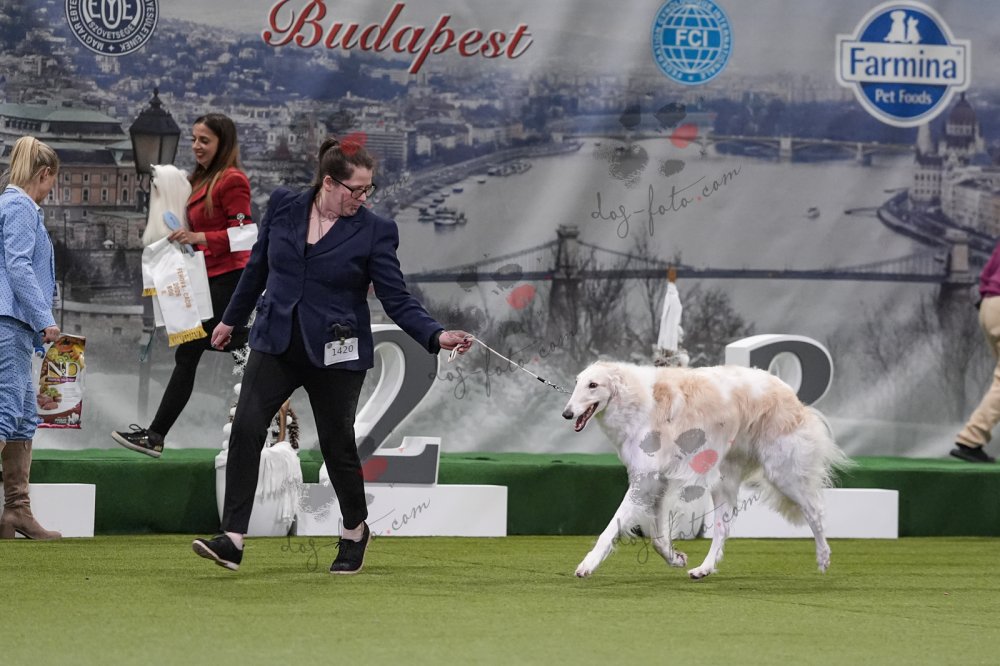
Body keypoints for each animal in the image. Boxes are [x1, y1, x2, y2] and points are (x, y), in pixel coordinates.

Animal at [561, 361, 850, 580]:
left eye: (593, 385)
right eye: (577, 382)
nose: (566, 413)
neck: (635, 398)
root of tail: (789, 392)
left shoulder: (645, 481)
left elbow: (612, 527)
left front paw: (587, 565)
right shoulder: (658, 483)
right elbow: (658, 538)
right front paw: (676, 558)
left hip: (782, 474)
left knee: (815, 511)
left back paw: (824, 558)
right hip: (724, 483)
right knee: (723, 530)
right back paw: (704, 569)